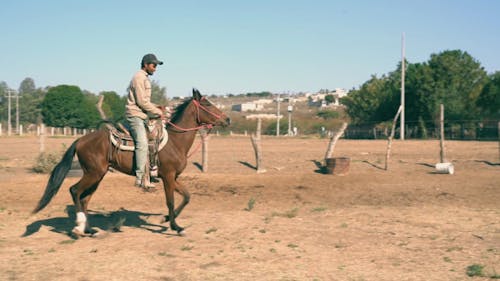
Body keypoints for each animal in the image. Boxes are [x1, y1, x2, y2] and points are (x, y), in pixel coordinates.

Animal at [32, 88, 231, 235]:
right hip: (93, 173)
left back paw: (89, 230)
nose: (227, 119)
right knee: (75, 191)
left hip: (97, 175)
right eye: (207, 103)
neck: (175, 142)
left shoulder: (173, 177)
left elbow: (187, 196)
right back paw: (80, 227)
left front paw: (167, 219)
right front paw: (176, 227)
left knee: (85, 198)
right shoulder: (168, 176)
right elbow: (171, 201)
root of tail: (81, 140)